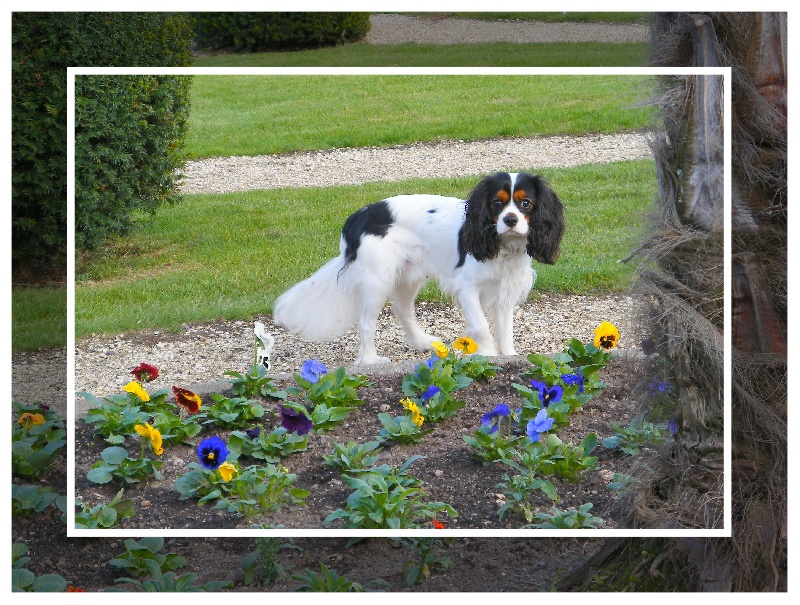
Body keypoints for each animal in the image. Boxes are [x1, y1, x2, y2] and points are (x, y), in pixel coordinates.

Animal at [272, 170, 564, 364]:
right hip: (379, 279)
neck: (503, 248)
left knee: (402, 311)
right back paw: (371, 361)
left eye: (526, 203)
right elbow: (482, 325)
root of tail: (357, 218)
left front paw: (509, 357)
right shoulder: (467, 288)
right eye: (497, 203)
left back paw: (422, 342)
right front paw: (489, 356)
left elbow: (505, 330)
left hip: (408, 276)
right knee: (366, 323)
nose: (511, 219)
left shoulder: (505, 291)